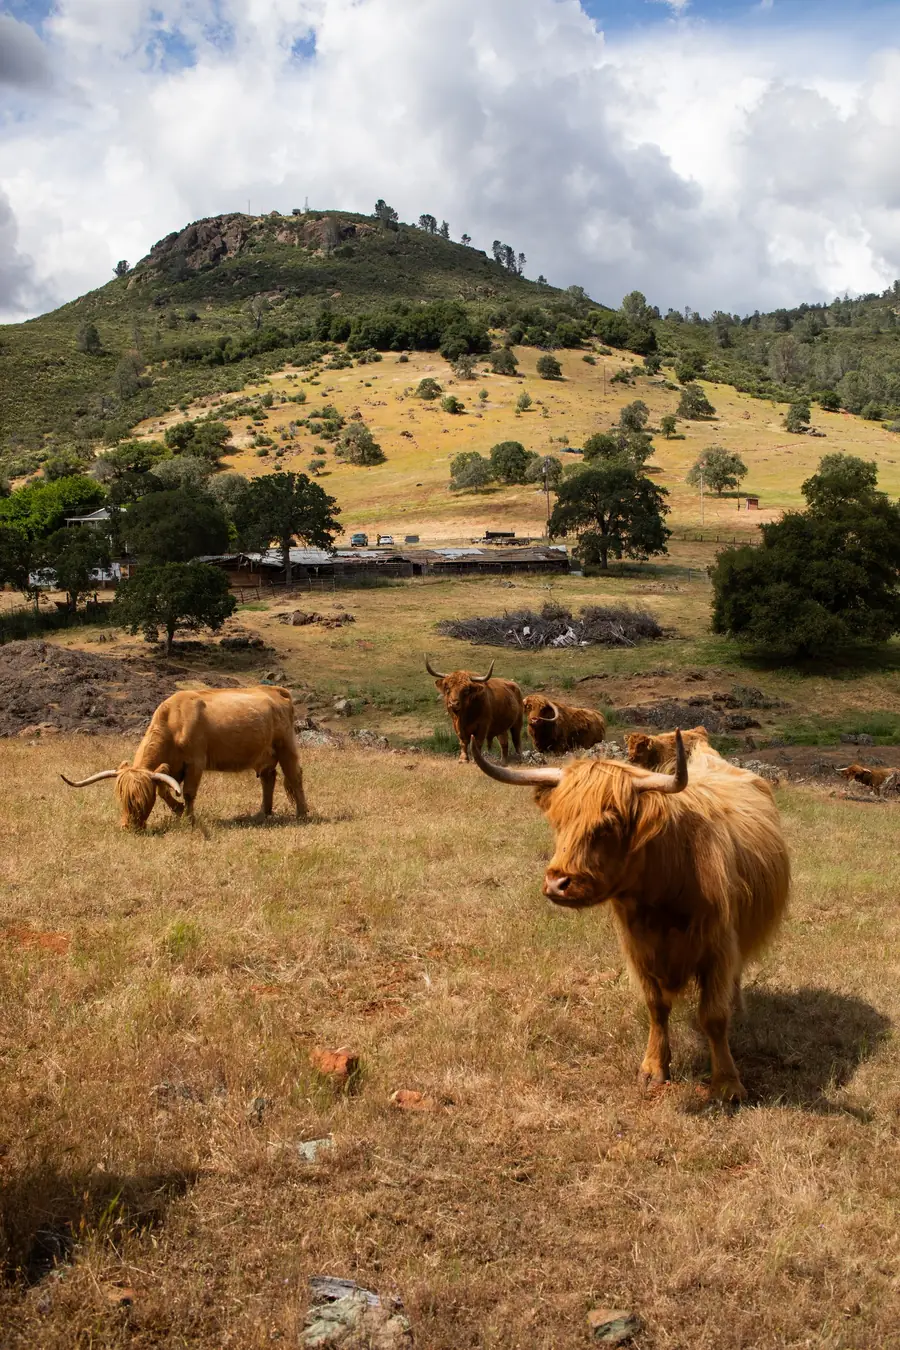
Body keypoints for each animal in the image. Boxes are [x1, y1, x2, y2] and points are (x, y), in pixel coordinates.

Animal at [61, 686, 308, 828]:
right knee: (269, 778)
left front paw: (189, 819)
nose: (128, 826)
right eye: (122, 798)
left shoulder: (195, 763)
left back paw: (302, 813)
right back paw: (262, 813)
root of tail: (276, 690)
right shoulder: (169, 768)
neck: (173, 724)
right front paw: (178, 810)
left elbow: (188, 793)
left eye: (141, 800)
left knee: (294, 776)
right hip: (265, 753)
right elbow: (164, 790)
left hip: (286, 746)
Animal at [470, 730, 790, 1102]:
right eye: (557, 820)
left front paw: (727, 1083)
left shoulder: (718, 947)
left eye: (608, 825)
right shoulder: (638, 949)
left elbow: (713, 1015)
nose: (557, 883)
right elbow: (656, 1006)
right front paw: (653, 1068)